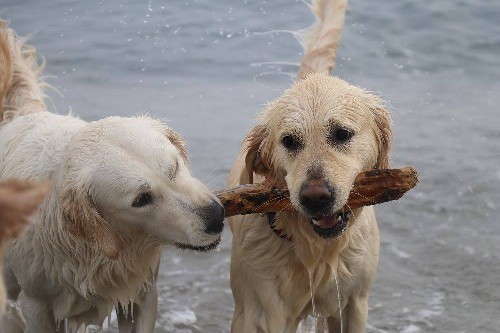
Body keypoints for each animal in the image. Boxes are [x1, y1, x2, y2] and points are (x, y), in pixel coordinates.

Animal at [0, 19, 225, 330]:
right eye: (142, 199)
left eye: (175, 167)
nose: (216, 216)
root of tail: (22, 115)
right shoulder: (35, 306)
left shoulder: (143, 293)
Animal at [229, 0, 392, 332]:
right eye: (289, 141)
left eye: (342, 134)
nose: (315, 198)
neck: (316, 251)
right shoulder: (258, 310)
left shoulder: (354, 303)